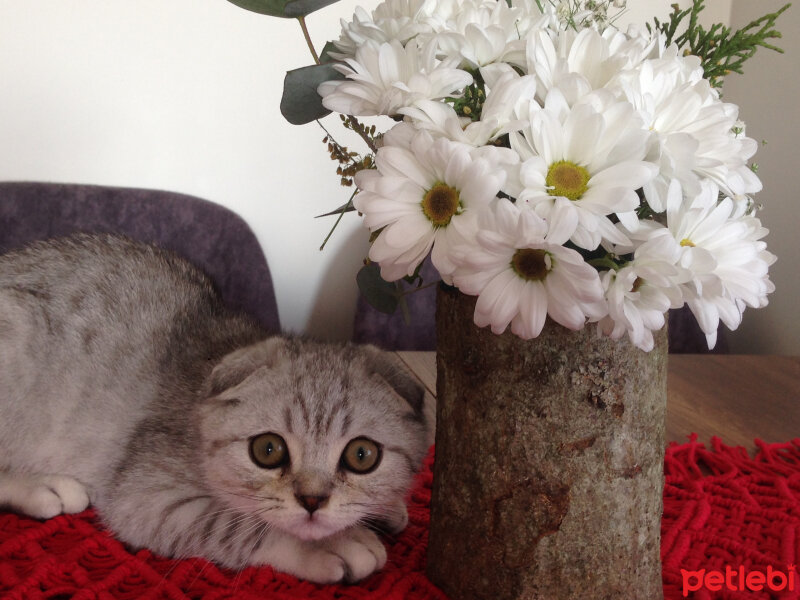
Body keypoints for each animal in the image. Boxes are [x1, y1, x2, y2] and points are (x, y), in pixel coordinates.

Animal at [0, 233, 432, 580]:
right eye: (267, 450)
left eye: (362, 455)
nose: (312, 502)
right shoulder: (142, 497)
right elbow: (240, 523)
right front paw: (332, 542)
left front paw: (383, 507)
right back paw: (43, 487)